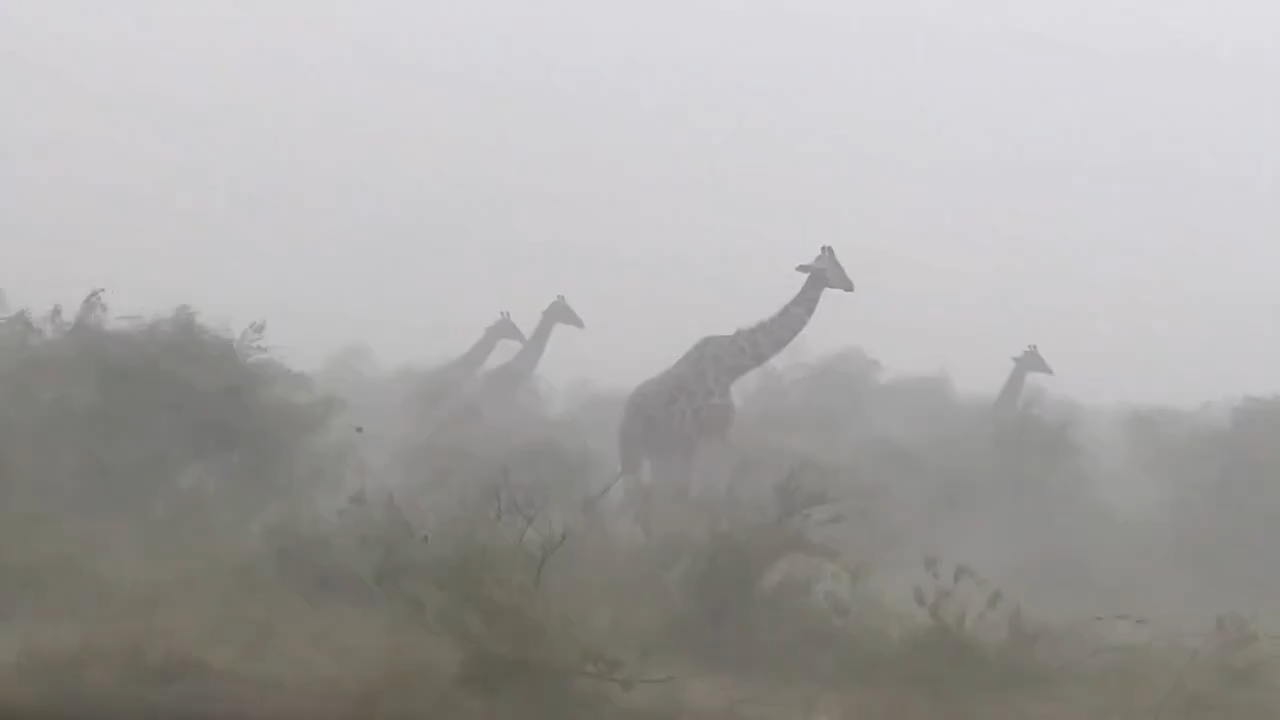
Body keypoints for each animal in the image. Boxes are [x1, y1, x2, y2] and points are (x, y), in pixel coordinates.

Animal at [599, 246, 854, 532]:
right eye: (833, 269)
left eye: (840, 264)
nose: (851, 285)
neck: (733, 367)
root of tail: (624, 414)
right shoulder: (713, 432)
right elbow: (713, 493)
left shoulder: (710, 436)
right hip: (636, 452)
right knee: (636, 499)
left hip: (665, 451)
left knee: (656, 497)